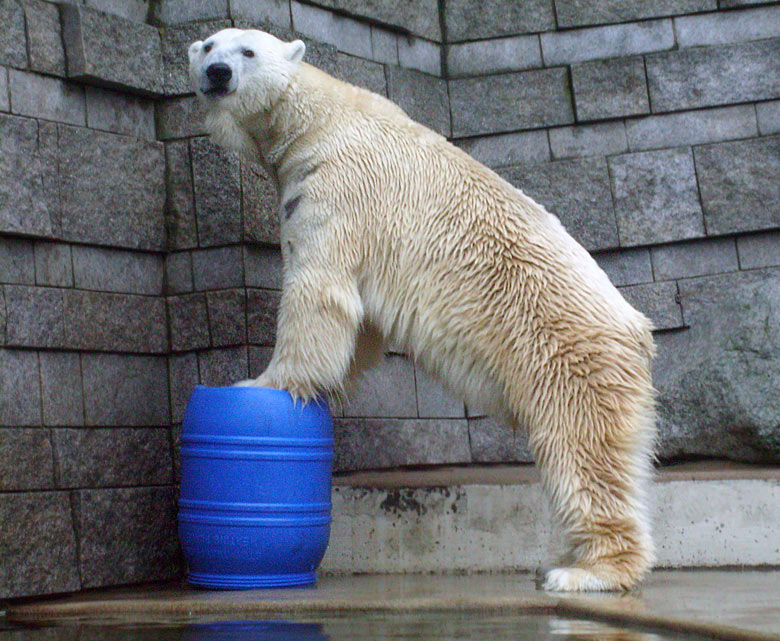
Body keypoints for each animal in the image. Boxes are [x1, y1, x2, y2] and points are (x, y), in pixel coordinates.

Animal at [190, 28, 660, 592]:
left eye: (248, 52)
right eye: (209, 46)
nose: (217, 73)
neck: (317, 119)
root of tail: (636, 329)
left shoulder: (338, 188)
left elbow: (320, 289)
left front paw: (265, 382)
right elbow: (362, 325)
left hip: (564, 354)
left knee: (580, 447)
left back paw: (586, 571)